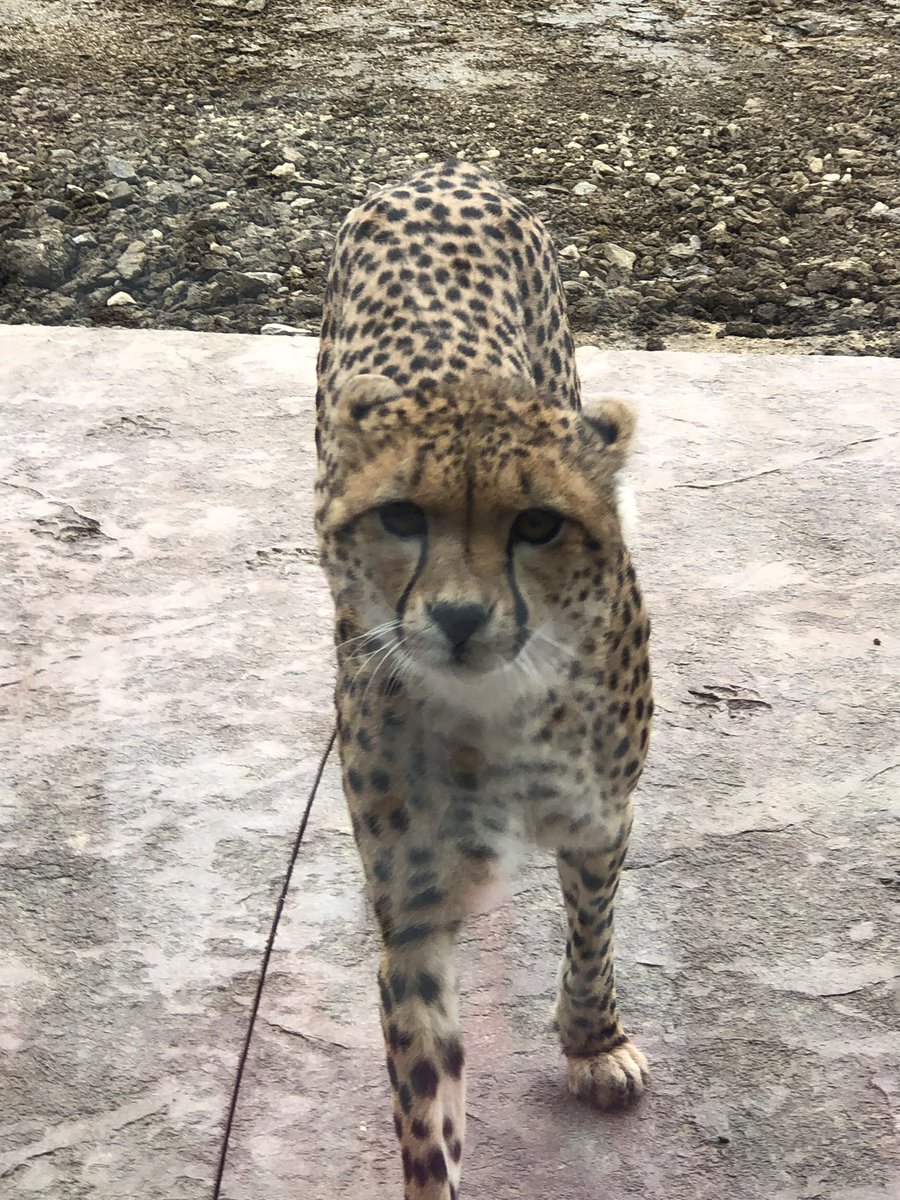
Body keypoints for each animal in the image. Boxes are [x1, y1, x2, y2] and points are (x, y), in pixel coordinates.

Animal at [313, 159, 653, 1200]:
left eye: (537, 525)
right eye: (401, 517)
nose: (459, 619)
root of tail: (438, 168)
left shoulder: (600, 816)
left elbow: (593, 929)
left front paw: (594, 1044)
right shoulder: (415, 908)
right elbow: (428, 1103)